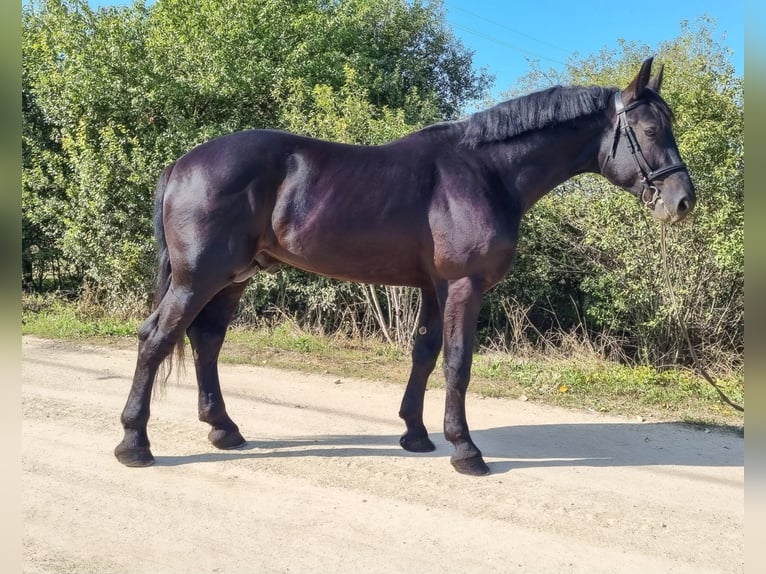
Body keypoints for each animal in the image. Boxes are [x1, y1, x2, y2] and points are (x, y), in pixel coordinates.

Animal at [114, 57, 696, 476]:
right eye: (648, 130)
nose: (683, 201)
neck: (485, 172)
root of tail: (182, 163)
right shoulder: (464, 285)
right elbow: (458, 363)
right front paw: (466, 449)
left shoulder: (434, 288)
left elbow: (424, 353)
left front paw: (415, 434)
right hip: (198, 277)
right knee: (156, 339)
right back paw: (134, 443)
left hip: (234, 277)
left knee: (206, 340)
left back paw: (224, 429)